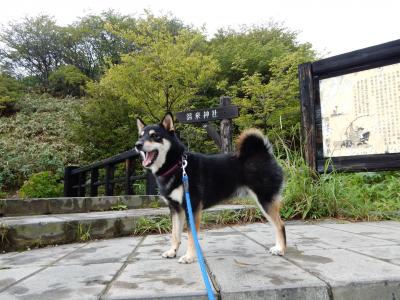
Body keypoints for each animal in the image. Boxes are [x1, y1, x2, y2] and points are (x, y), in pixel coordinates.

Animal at [136, 113, 286, 264]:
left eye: (155, 136)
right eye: (140, 136)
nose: (137, 145)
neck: (177, 165)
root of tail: (264, 153)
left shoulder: (192, 207)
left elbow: (191, 236)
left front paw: (189, 257)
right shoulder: (175, 209)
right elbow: (175, 234)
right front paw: (172, 252)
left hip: (265, 200)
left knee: (280, 225)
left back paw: (280, 249)